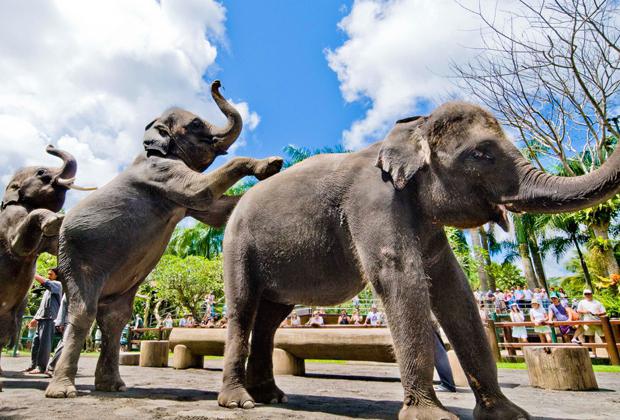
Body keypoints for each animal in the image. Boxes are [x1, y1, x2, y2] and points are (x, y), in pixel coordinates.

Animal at [0, 146, 91, 388]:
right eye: (41, 173)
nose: (49, 146)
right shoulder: (10, 220)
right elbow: (20, 245)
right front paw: (55, 220)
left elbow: (55, 246)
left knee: (4, 333)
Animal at [45, 81, 284, 398]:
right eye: (196, 124)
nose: (217, 83)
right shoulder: (161, 173)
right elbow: (200, 192)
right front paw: (271, 165)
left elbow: (216, 212)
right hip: (77, 257)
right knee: (85, 311)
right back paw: (64, 391)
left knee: (115, 316)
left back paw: (113, 386)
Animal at [218, 103, 620, 418]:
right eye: (481, 154)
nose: (611, 126)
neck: (412, 132)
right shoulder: (375, 202)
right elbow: (400, 277)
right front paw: (431, 416)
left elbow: (454, 288)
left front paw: (509, 415)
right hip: (237, 245)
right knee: (243, 309)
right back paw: (240, 402)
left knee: (270, 318)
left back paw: (271, 397)